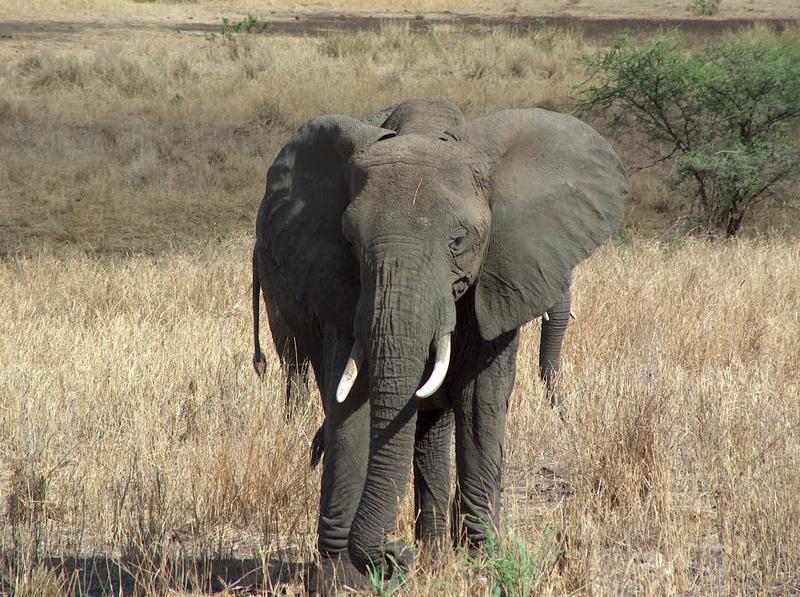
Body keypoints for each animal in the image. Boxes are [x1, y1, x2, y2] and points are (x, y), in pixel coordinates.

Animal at [253, 99, 628, 588]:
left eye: (459, 240)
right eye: (349, 241)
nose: (394, 554)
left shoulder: (496, 274)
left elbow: (479, 400)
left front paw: (483, 563)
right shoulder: (341, 284)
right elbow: (350, 399)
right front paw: (341, 580)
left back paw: (434, 553)